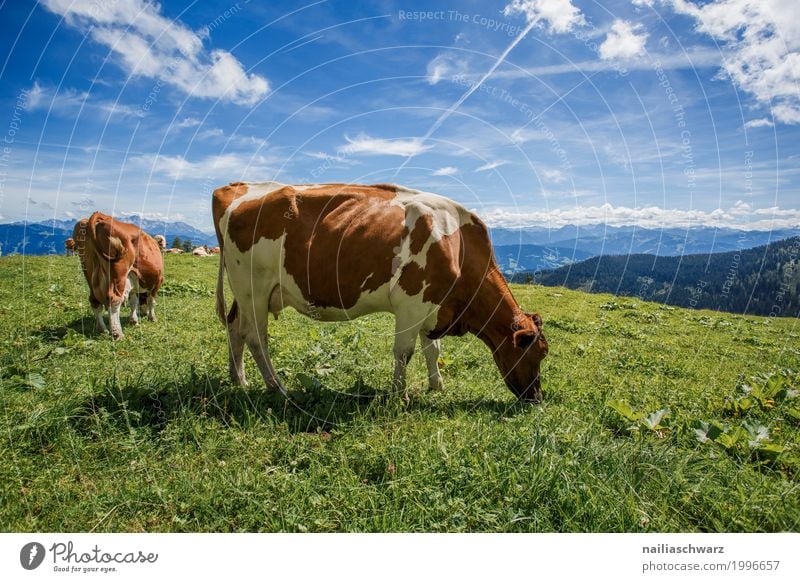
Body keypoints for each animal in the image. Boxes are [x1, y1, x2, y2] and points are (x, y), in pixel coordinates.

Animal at [73, 213, 164, 342]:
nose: (144, 314)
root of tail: (103, 217)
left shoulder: (132, 283)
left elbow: (133, 301)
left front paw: (134, 320)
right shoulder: (158, 281)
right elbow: (151, 300)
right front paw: (152, 317)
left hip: (88, 270)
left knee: (94, 301)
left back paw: (102, 329)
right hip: (118, 273)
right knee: (114, 300)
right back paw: (117, 334)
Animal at [212, 181, 552, 402]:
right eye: (539, 352)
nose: (536, 396)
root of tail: (237, 187)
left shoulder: (432, 306)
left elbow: (433, 350)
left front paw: (436, 385)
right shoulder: (412, 302)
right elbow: (405, 352)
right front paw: (400, 394)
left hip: (246, 293)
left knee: (236, 329)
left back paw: (239, 379)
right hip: (254, 288)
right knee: (256, 337)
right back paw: (276, 387)